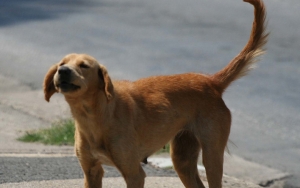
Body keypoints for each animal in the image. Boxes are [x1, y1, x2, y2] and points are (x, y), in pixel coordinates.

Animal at [42, 0, 268, 187]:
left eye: (84, 66)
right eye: (61, 64)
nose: (63, 71)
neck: (95, 115)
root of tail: (211, 81)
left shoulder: (134, 173)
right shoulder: (91, 171)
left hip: (212, 156)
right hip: (183, 158)